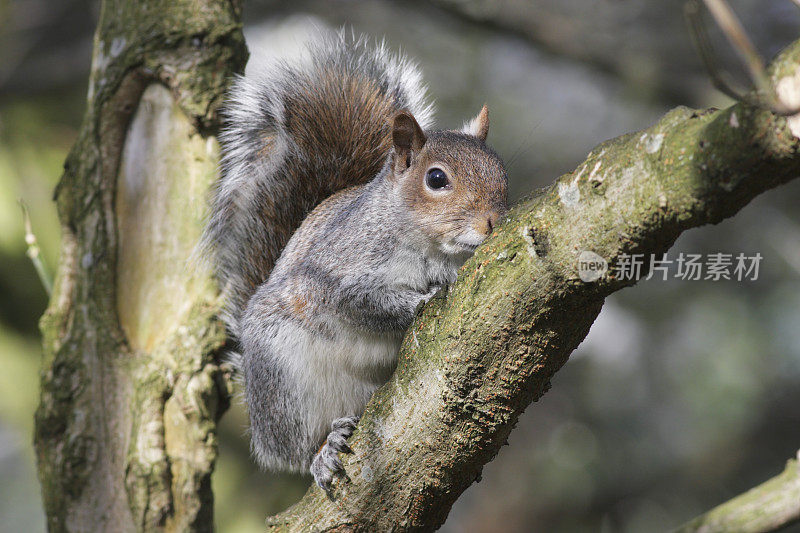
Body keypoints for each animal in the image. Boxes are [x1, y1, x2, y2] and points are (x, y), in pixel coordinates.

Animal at [203, 31, 510, 492]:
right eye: (436, 179)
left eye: (502, 171)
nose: (493, 221)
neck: (433, 250)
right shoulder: (335, 271)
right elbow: (359, 302)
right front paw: (422, 300)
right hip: (286, 382)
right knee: (295, 448)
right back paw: (323, 451)